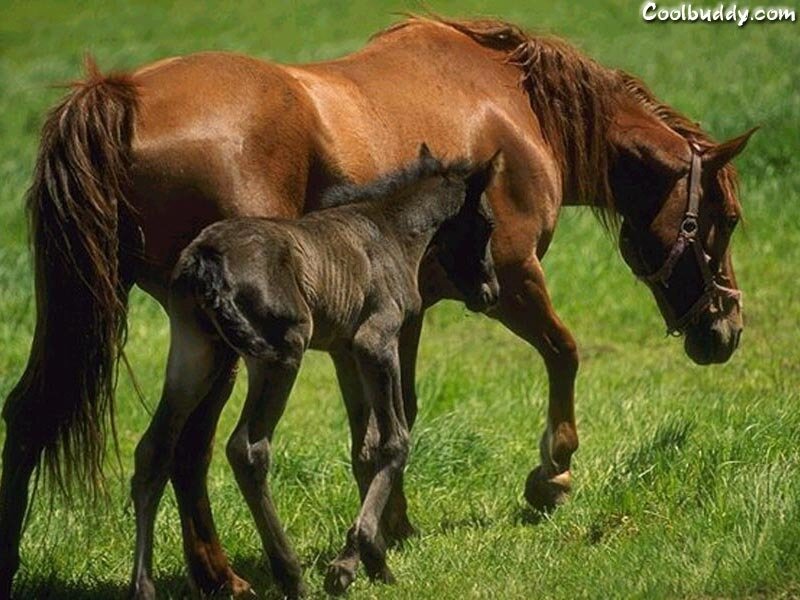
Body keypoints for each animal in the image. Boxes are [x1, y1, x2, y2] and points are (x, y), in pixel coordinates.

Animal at [130, 146, 500, 598]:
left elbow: (364, 448)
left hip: (196, 352)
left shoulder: (345, 351)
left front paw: (366, 560)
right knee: (248, 449)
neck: (390, 233)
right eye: (488, 224)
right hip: (280, 352)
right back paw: (290, 573)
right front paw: (357, 559)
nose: (491, 292)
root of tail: (206, 258)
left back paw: (142, 585)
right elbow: (395, 441)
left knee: (153, 449)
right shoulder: (375, 341)